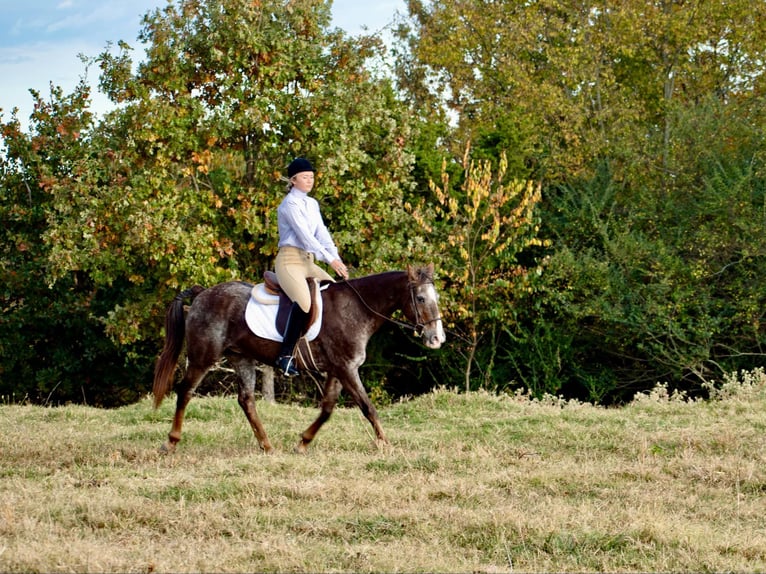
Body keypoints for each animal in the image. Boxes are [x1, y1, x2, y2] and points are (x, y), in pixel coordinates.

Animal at [152, 263, 445, 454]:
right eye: (420, 298)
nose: (437, 339)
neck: (356, 308)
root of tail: (202, 293)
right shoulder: (347, 368)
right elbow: (368, 407)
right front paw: (386, 445)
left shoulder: (338, 369)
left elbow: (327, 409)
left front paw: (303, 442)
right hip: (203, 357)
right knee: (185, 391)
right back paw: (171, 441)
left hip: (241, 358)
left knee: (246, 400)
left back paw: (267, 446)